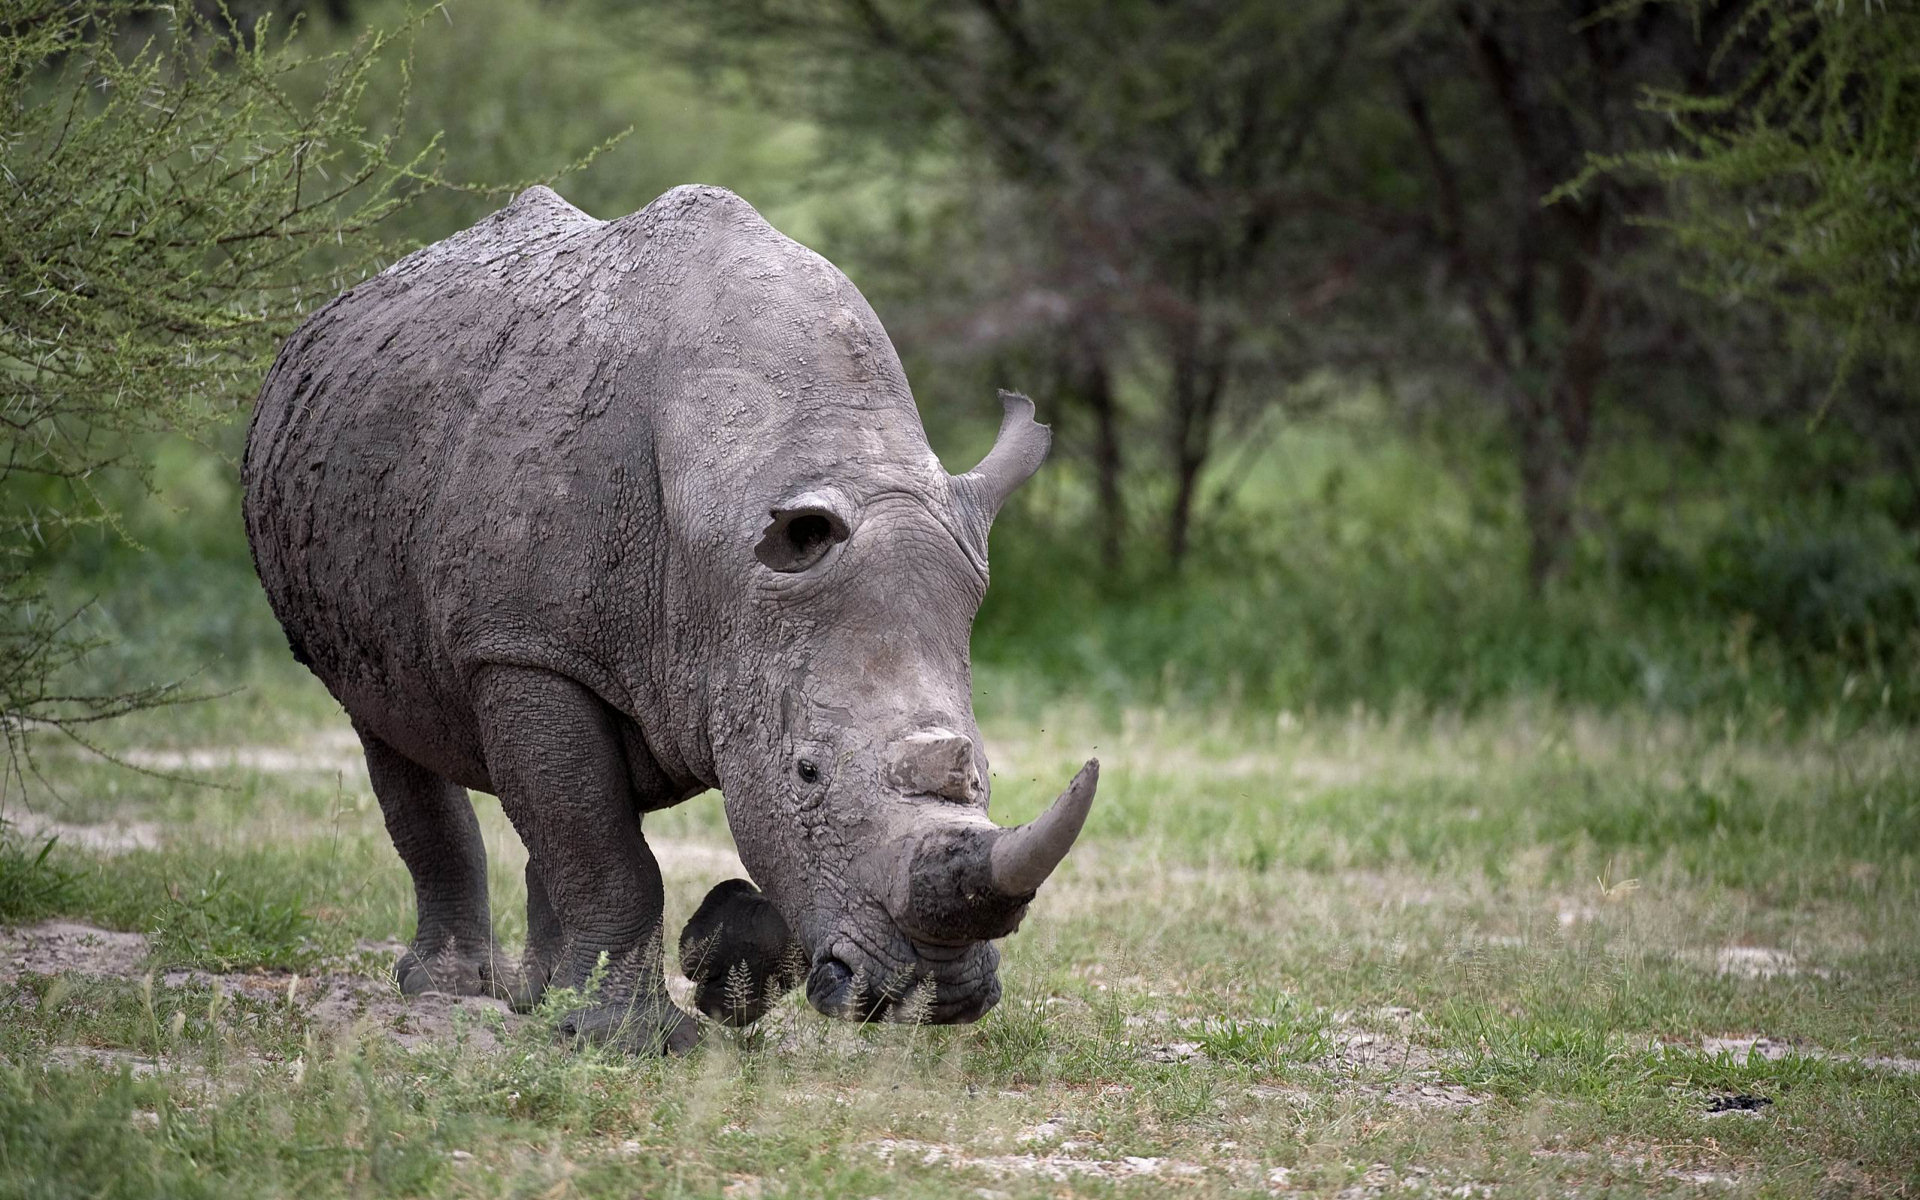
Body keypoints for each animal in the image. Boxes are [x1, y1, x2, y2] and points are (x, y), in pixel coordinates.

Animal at [242, 184, 1098, 1052]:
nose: (937, 995)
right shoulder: (523, 646)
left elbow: (597, 827)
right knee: (390, 726)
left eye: (984, 772)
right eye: (807, 772)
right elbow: (607, 851)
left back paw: (538, 1001)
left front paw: (708, 965)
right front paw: (631, 1041)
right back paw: (452, 993)